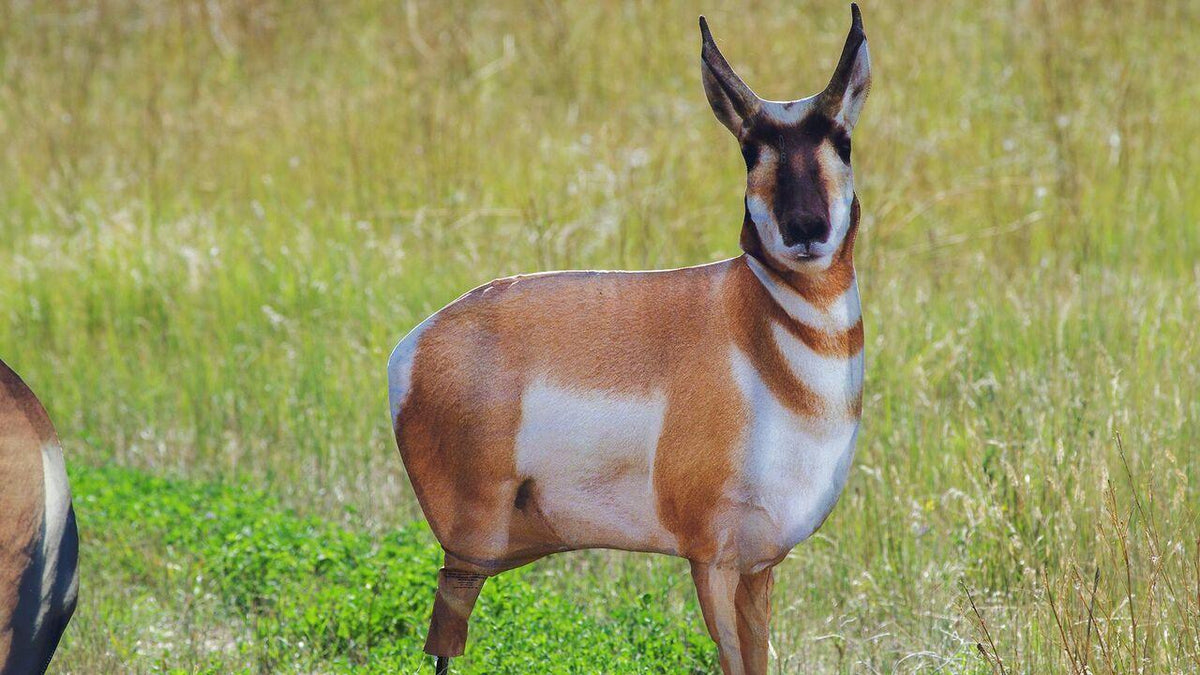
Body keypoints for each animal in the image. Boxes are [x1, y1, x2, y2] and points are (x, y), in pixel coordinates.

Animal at [388, 6, 870, 673]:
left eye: (842, 140)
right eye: (750, 149)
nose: (806, 228)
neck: (759, 336)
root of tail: (415, 342)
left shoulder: (759, 565)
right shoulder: (711, 560)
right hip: (471, 550)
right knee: (444, 640)